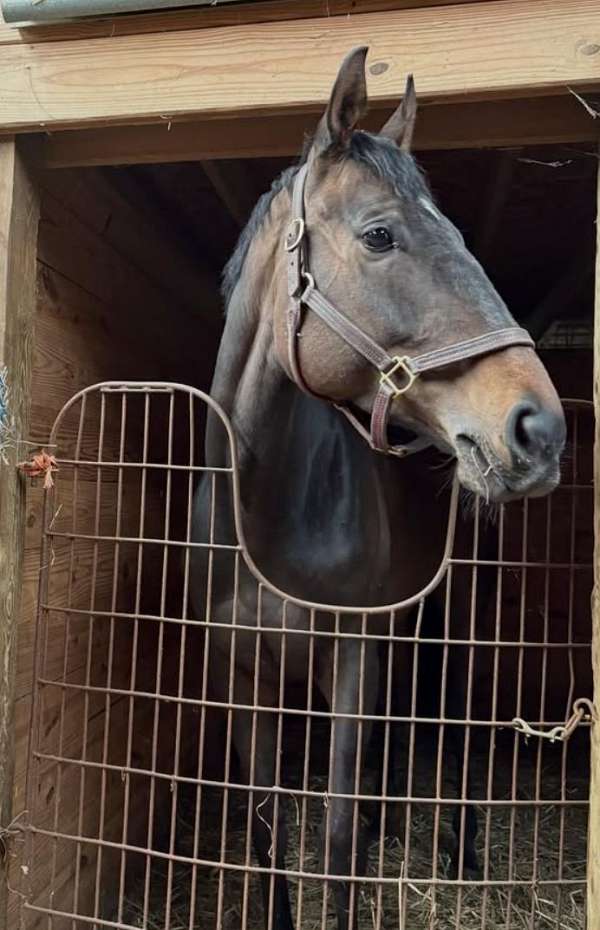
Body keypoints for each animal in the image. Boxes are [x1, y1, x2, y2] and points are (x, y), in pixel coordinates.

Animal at [190, 46, 565, 930]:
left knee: (453, 723)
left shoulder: (354, 659)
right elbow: (268, 825)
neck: (267, 515)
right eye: (380, 235)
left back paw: (462, 849)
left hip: (454, 619)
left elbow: (331, 837)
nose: (540, 427)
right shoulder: (242, 676)